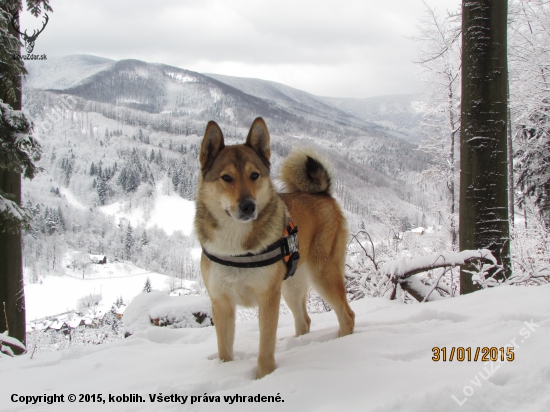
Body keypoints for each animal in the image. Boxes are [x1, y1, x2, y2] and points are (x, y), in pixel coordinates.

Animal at [196, 117, 356, 378]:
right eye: (226, 178)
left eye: (254, 175)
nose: (248, 206)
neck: (235, 245)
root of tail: (323, 194)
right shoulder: (221, 303)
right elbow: (224, 350)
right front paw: (226, 371)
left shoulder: (268, 298)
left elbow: (265, 344)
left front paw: (265, 376)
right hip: (291, 286)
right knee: (304, 321)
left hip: (322, 275)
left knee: (347, 315)